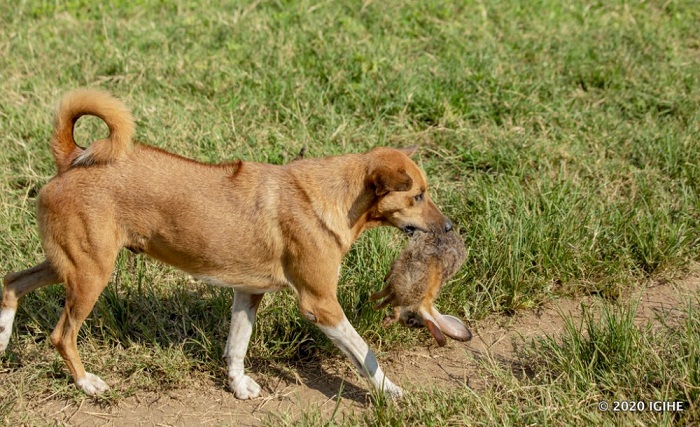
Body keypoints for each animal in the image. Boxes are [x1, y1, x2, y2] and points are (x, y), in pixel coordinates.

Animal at [0, 88, 456, 400]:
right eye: (418, 196)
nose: (450, 227)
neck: (334, 197)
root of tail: (71, 158)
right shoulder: (321, 305)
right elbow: (365, 354)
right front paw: (391, 392)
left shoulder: (247, 291)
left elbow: (237, 345)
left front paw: (238, 386)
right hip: (90, 273)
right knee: (61, 335)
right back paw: (86, 383)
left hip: (69, 264)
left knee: (12, 282)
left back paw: (2, 340)